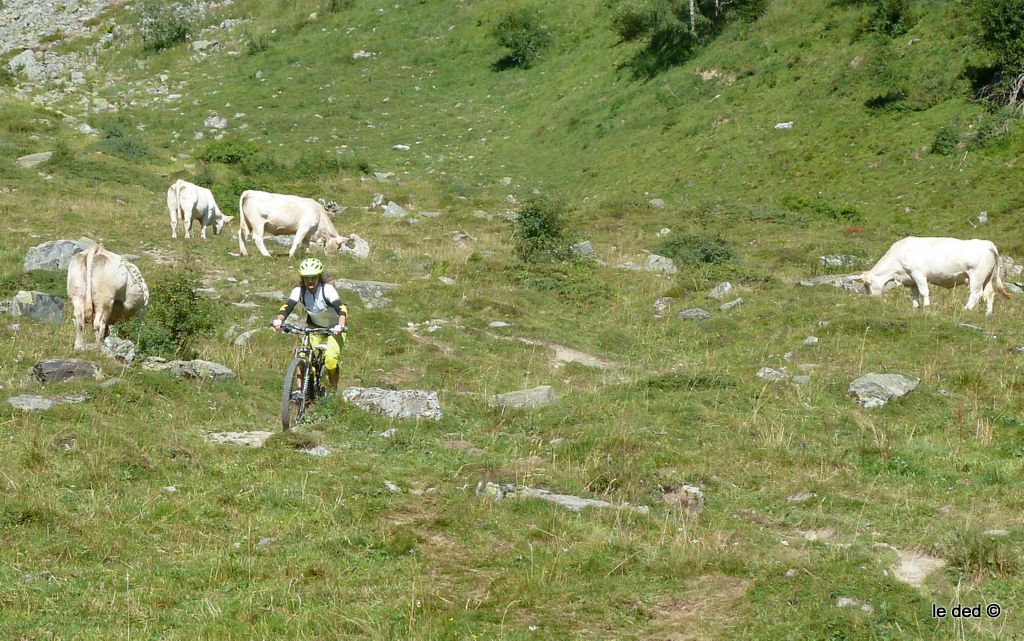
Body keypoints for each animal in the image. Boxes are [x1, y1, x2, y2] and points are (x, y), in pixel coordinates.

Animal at [851, 234, 1011, 315]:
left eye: (867, 285)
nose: (871, 301)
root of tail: (988, 244)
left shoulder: (918, 273)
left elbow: (924, 291)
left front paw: (927, 306)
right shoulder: (911, 279)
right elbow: (915, 294)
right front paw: (915, 307)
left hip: (977, 275)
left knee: (976, 294)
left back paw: (965, 309)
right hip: (987, 277)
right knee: (989, 293)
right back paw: (988, 313)